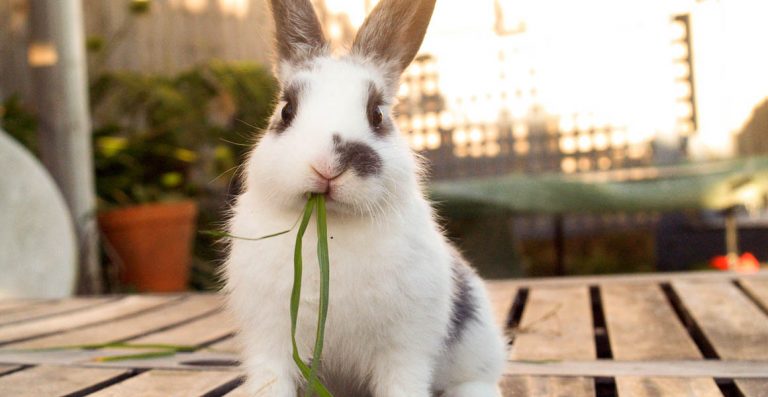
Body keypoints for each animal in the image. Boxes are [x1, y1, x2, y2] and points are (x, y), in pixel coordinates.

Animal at [222, 0, 508, 394]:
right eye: (286, 110)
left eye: (377, 114)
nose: (328, 166)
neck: (329, 227)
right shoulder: (270, 342)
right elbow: (271, 381)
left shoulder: (405, 350)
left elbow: (403, 383)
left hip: (478, 344)